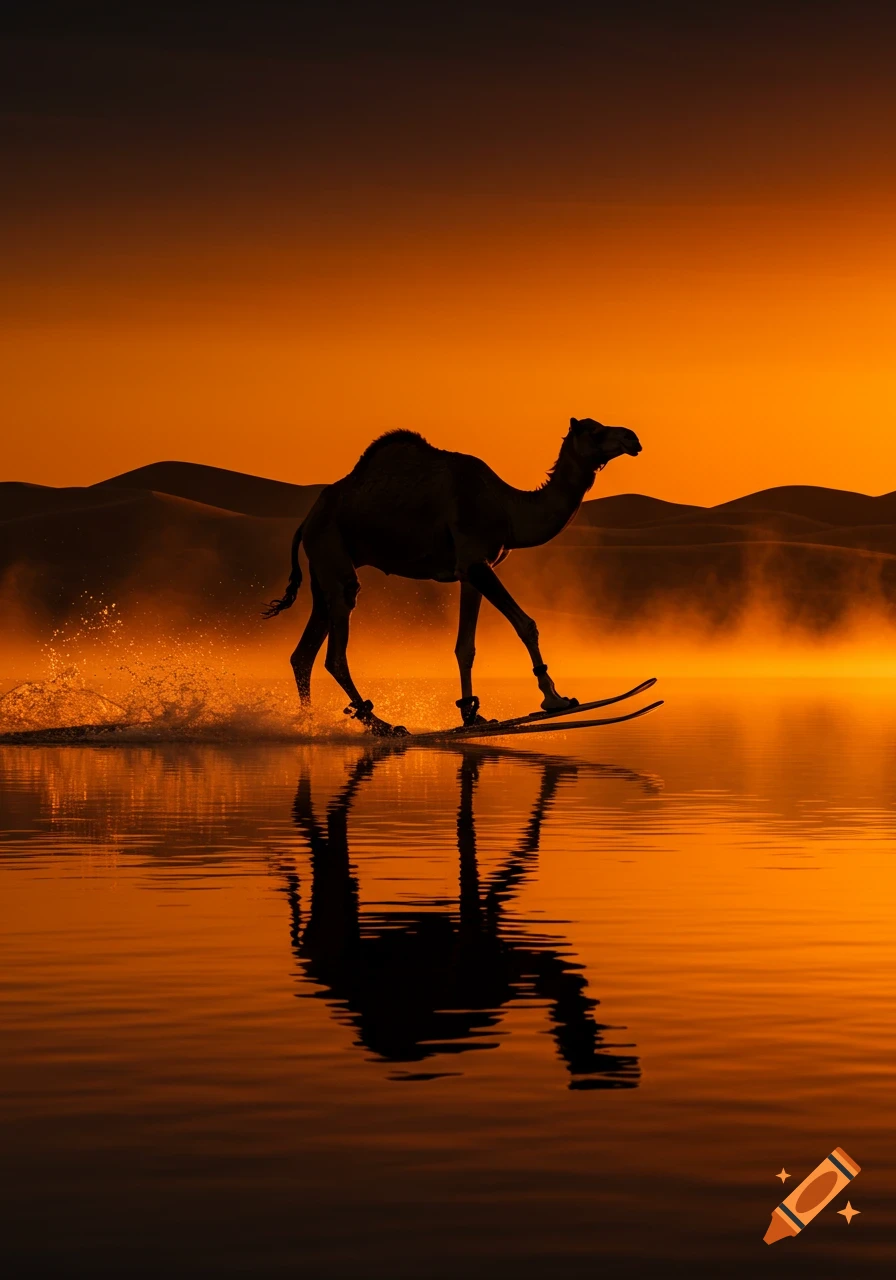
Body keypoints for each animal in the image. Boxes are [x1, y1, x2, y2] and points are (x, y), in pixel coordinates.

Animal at [264, 417, 641, 735]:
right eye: (595, 431)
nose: (632, 437)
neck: (507, 508)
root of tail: (305, 522)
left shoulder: (471, 571)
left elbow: (466, 646)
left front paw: (472, 717)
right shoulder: (475, 561)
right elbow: (526, 624)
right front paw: (555, 700)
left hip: (322, 573)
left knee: (303, 655)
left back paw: (310, 724)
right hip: (334, 558)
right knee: (334, 655)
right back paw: (383, 725)